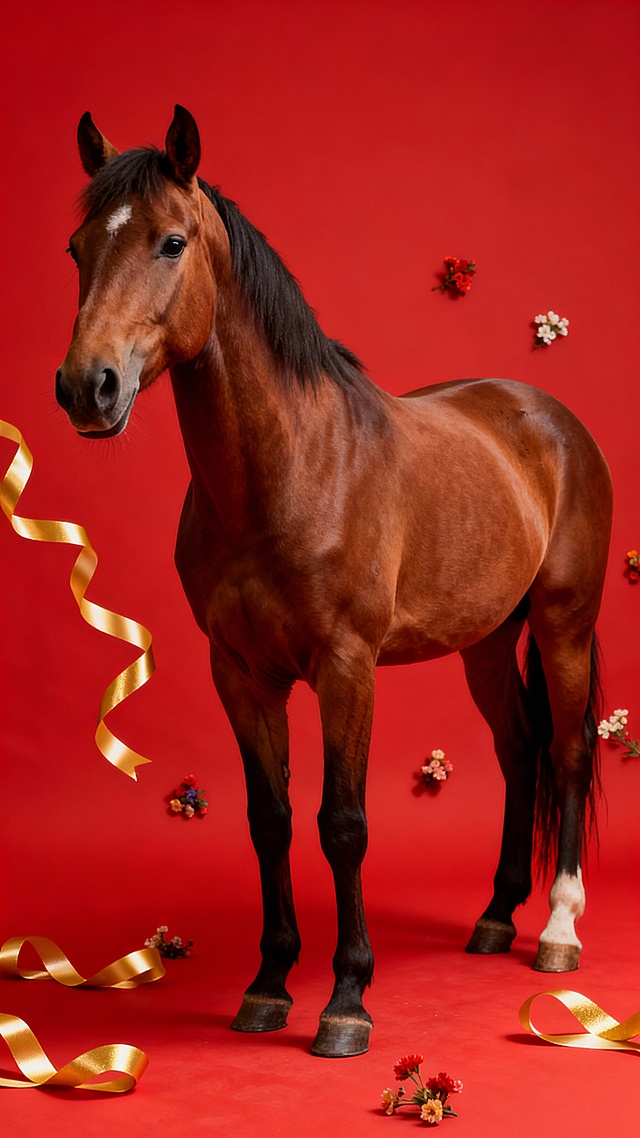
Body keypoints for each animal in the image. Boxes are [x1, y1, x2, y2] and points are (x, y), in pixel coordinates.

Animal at [55, 105, 612, 1058]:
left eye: (171, 242)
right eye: (76, 247)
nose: (87, 388)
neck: (288, 469)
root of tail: (550, 418)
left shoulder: (346, 669)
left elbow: (342, 825)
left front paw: (347, 999)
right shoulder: (241, 674)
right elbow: (270, 820)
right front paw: (269, 985)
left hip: (563, 625)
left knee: (568, 755)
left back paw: (557, 932)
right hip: (488, 643)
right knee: (519, 750)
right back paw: (496, 915)